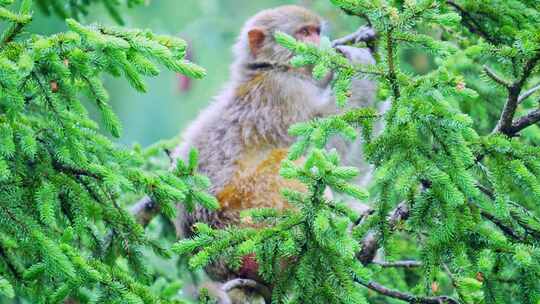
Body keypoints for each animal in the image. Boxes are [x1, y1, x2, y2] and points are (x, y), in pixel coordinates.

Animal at [172, 4, 376, 290]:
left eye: (316, 31)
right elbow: (324, 146)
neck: (271, 68)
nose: (318, 43)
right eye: (304, 33)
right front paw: (360, 61)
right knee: (292, 166)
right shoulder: (283, 95)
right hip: (252, 217)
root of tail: (224, 269)